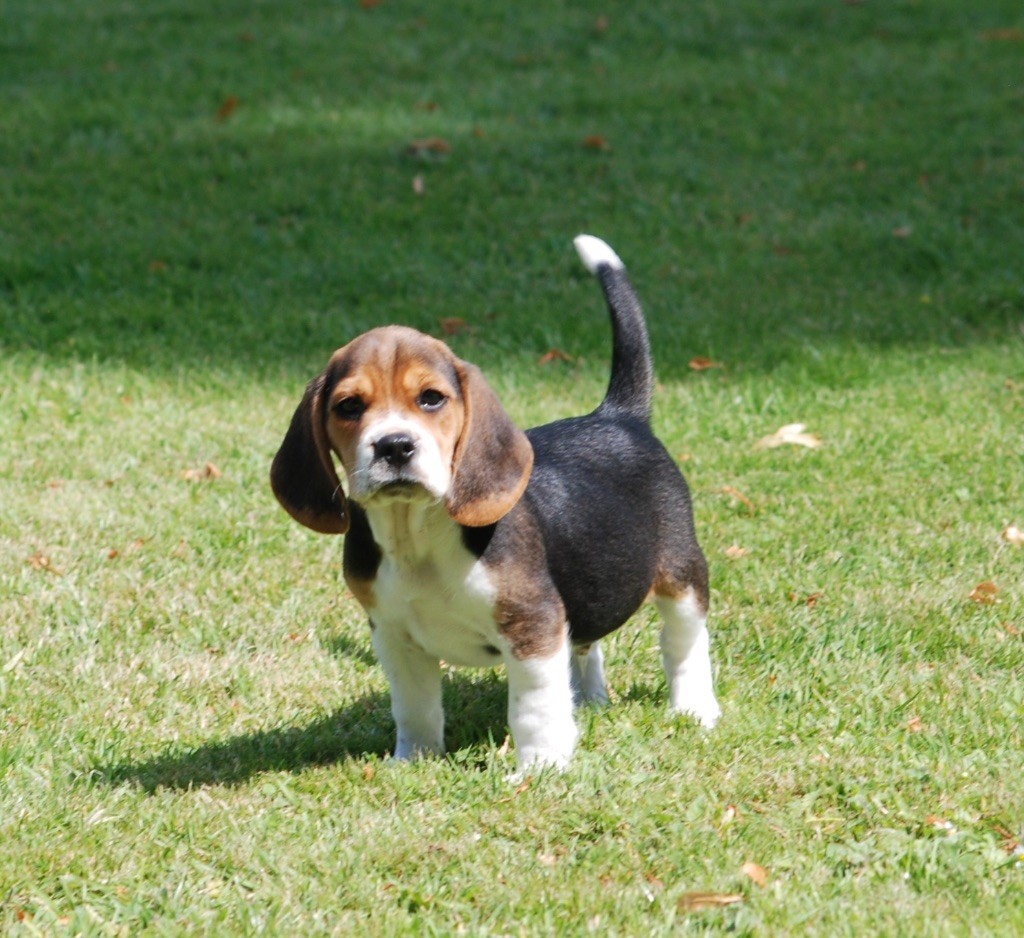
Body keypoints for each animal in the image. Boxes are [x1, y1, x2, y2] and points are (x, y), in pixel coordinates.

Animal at [271, 235, 720, 773]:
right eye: (349, 406)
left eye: (431, 399)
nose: (395, 446)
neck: (416, 535)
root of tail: (617, 415)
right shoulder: (395, 635)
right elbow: (415, 706)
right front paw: (412, 761)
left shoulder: (532, 626)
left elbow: (533, 707)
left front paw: (540, 769)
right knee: (587, 643)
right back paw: (589, 701)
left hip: (681, 573)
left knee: (684, 643)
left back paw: (695, 709)